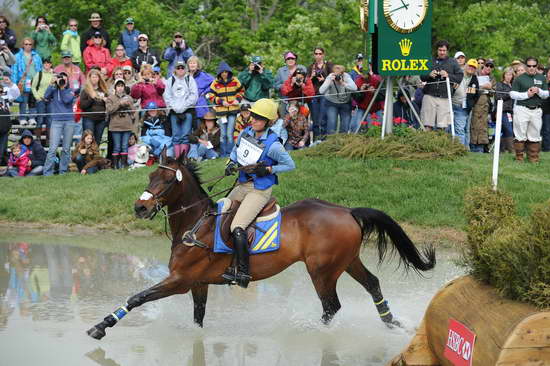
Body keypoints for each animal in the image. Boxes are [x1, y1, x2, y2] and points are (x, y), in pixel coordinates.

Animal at [87, 149, 436, 340]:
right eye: (150, 178)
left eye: (169, 180)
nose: (140, 208)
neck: (195, 224)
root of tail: (347, 210)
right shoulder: (198, 283)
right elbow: (198, 316)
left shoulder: (180, 280)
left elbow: (137, 297)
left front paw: (102, 325)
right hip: (347, 261)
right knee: (373, 284)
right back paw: (393, 323)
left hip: (322, 270)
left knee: (331, 306)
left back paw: (317, 332)